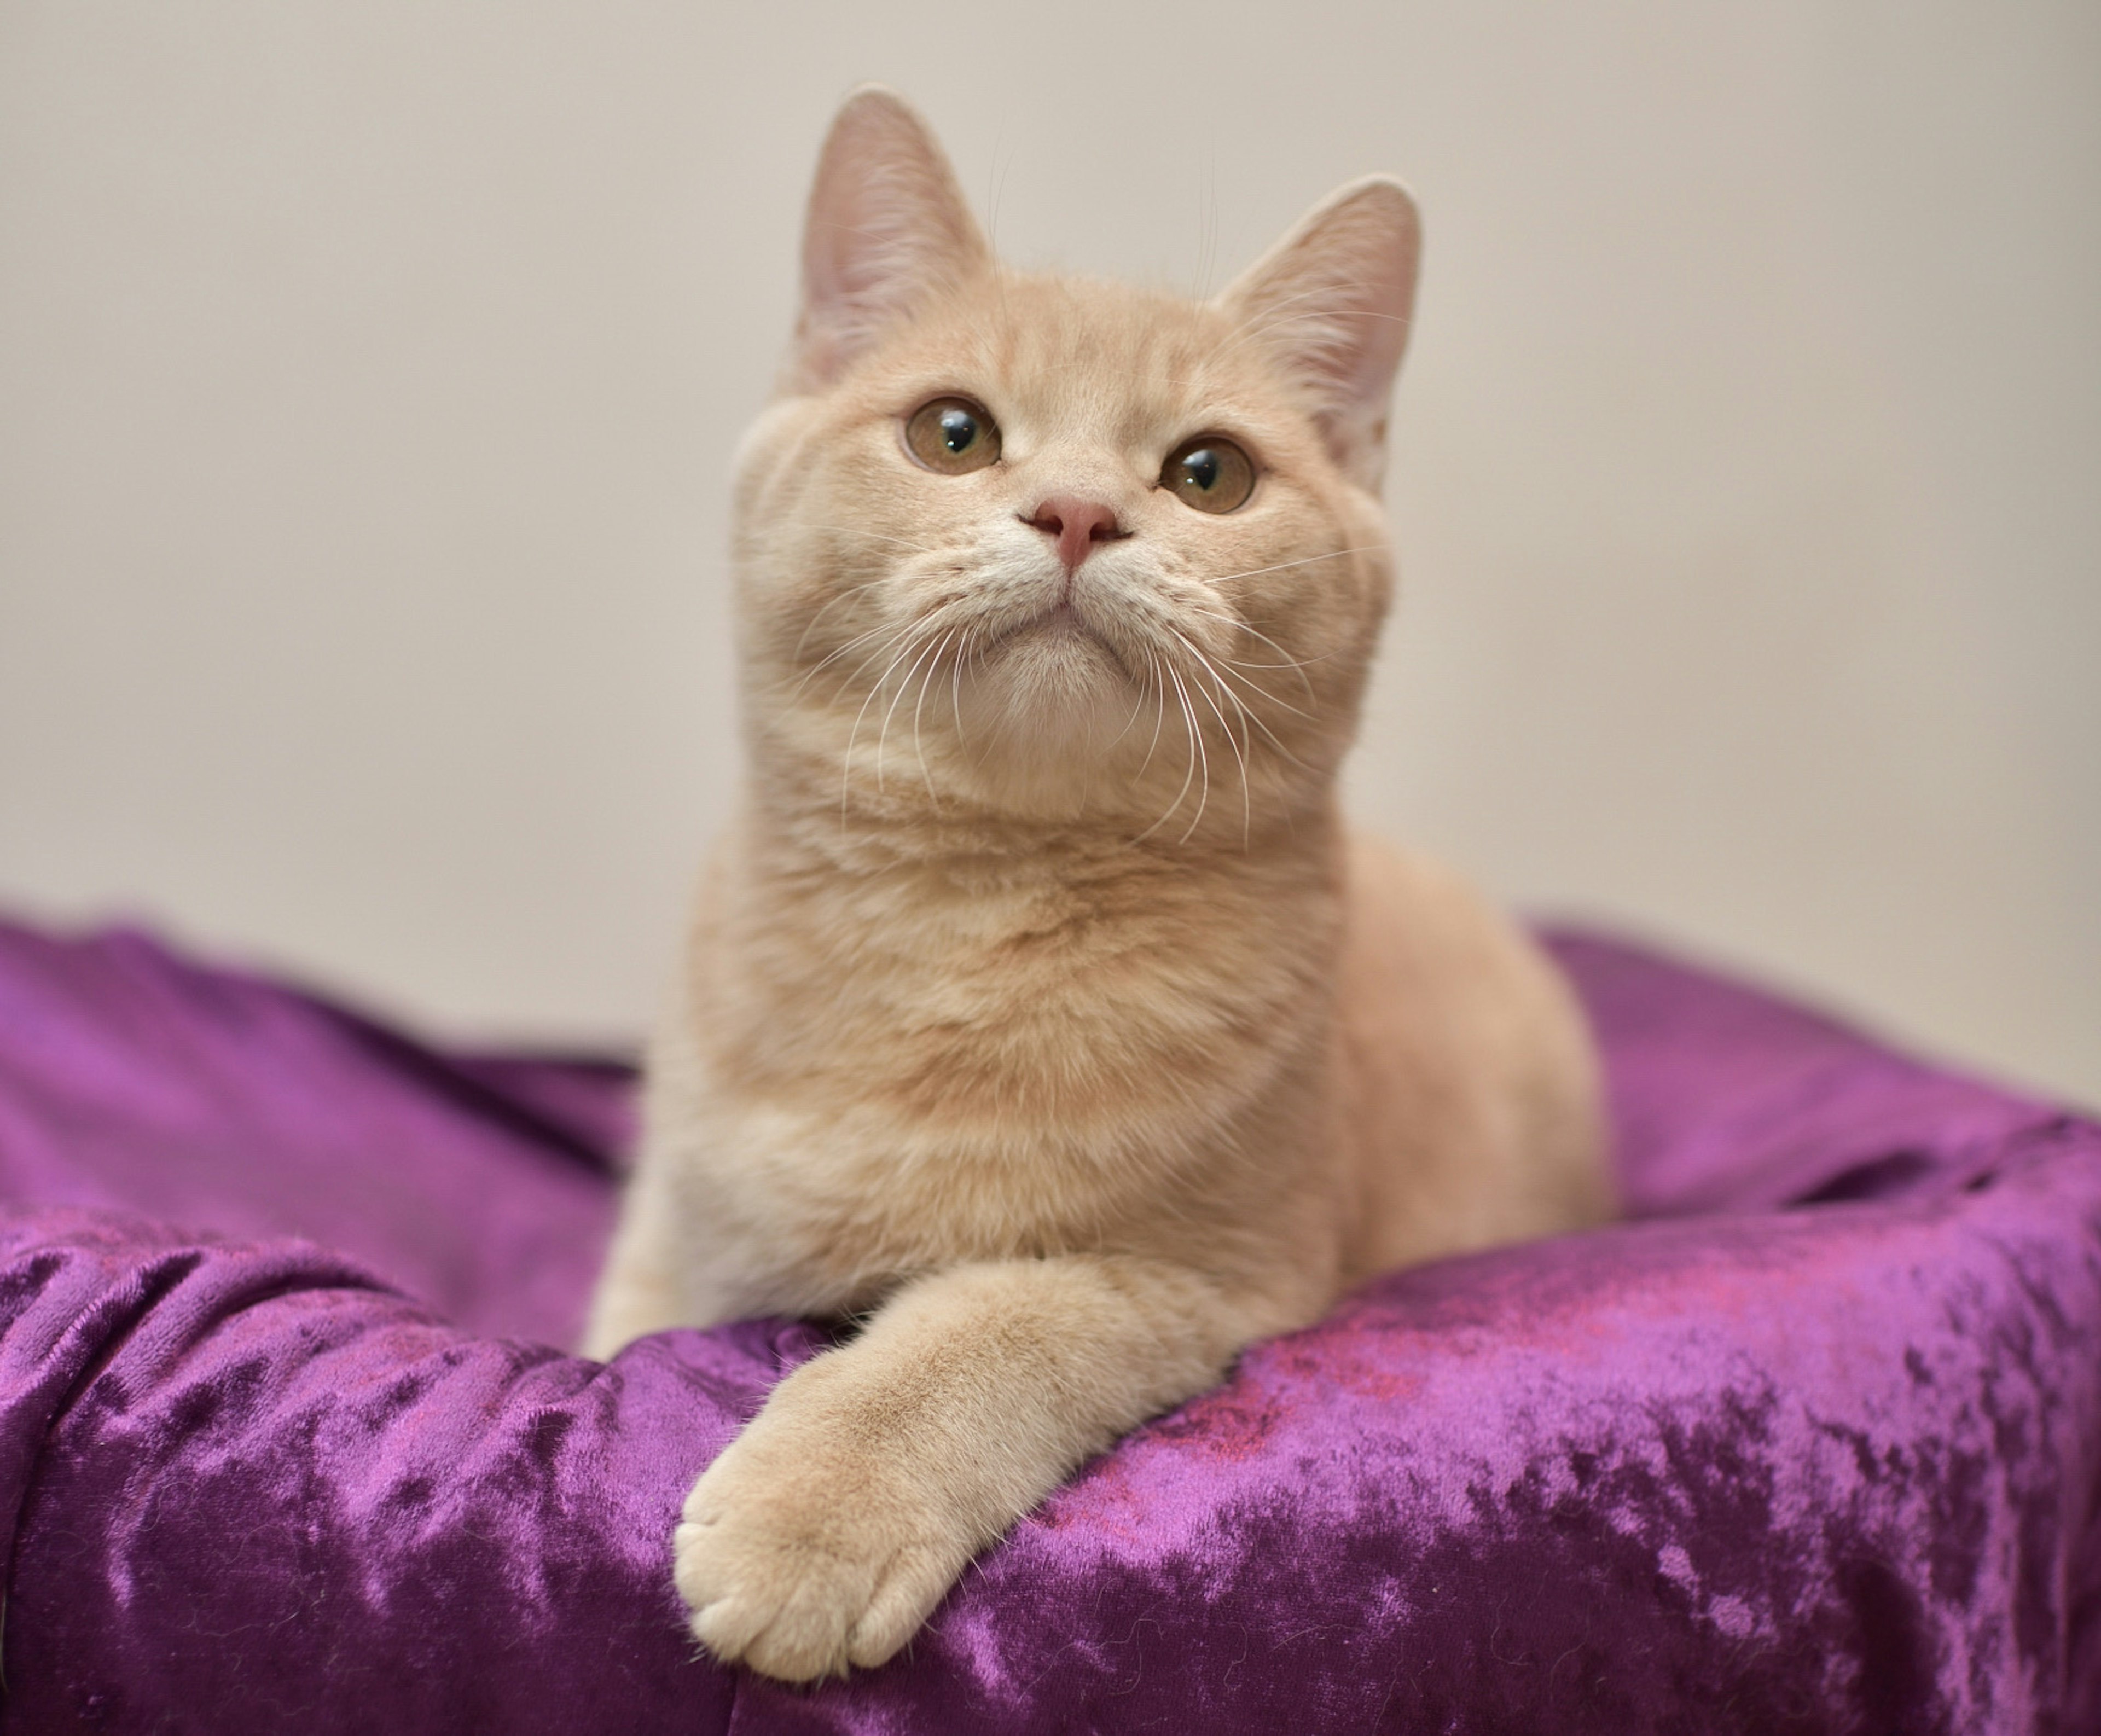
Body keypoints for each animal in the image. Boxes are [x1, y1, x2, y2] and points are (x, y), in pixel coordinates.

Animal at [584, 84, 1597, 1681]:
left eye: (1208, 474)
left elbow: (985, 1329)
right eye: (951, 434)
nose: (1072, 512)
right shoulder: (679, 1233)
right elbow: (618, 1336)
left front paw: (818, 1507)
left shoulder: (1202, 1275)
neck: (962, 907)